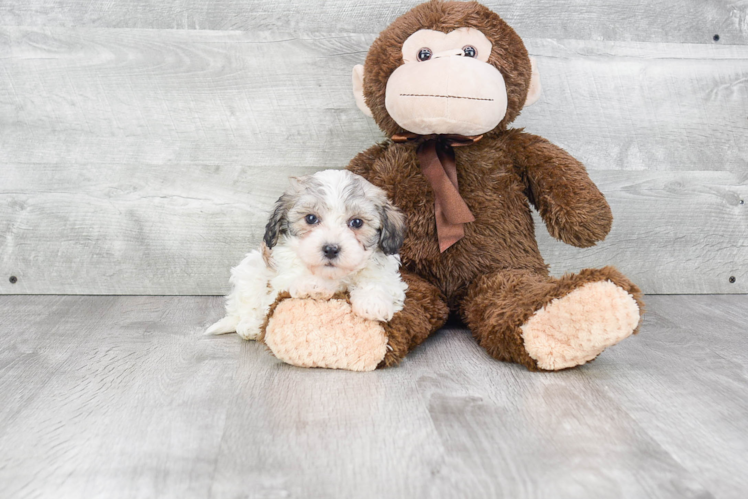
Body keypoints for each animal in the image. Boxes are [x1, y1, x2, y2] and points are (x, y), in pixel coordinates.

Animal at [206, 169, 410, 340]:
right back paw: (251, 326)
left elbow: (378, 282)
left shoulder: (389, 276)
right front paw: (313, 284)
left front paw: (373, 303)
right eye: (311, 218)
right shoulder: (281, 273)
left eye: (357, 222)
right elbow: (294, 279)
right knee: (248, 304)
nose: (331, 249)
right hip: (251, 268)